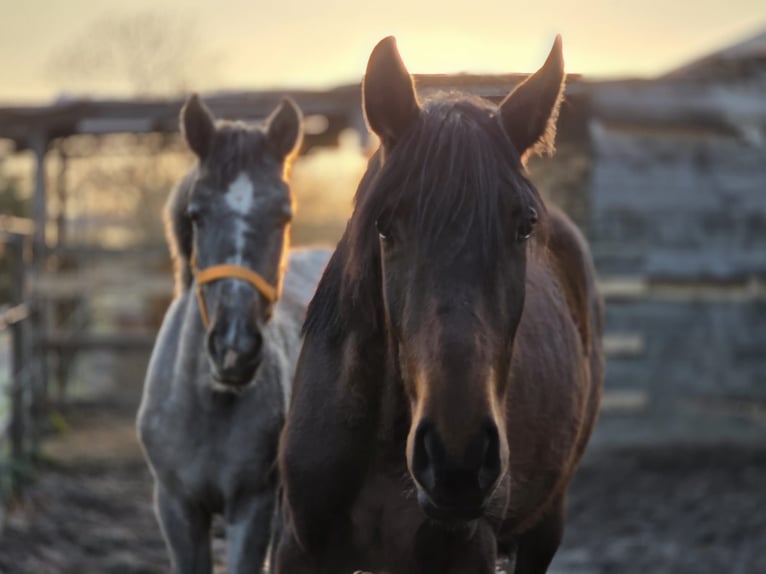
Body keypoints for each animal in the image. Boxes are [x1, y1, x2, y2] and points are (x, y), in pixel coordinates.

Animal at [137, 94, 331, 574]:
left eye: (284, 216)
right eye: (196, 215)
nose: (234, 349)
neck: (209, 403)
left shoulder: (253, 507)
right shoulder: (177, 509)